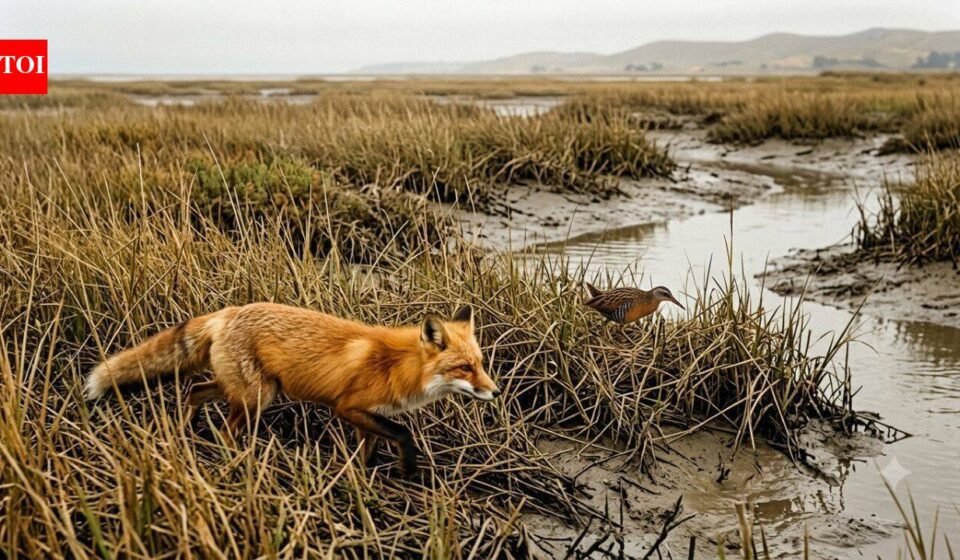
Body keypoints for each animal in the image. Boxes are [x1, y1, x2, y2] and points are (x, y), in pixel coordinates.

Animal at [85, 302, 499, 475]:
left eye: (481, 364)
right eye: (464, 368)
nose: (495, 392)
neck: (397, 366)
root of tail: (228, 312)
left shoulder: (368, 418)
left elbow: (368, 452)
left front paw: (363, 482)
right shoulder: (348, 407)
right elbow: (403, 432)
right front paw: (408, 467)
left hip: (242, 389)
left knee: (195, 391)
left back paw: (184, 432)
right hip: (257, 397)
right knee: (225, 431)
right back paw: (234, 461)